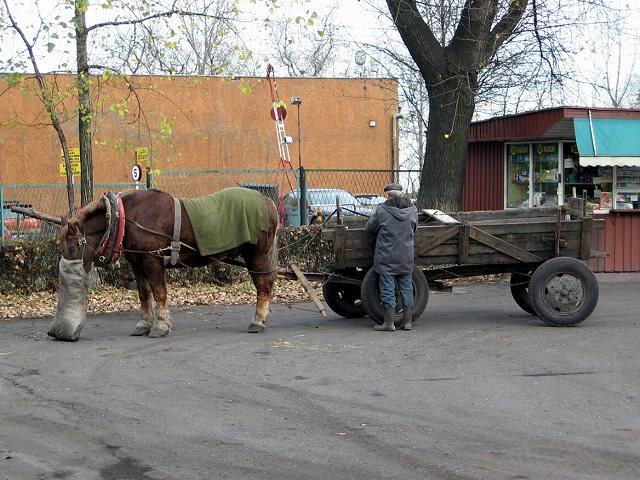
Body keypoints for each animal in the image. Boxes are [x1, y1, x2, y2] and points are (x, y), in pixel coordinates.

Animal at [58, 188, 278, 338]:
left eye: (72, 248)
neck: (126, 218)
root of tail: (266, 201)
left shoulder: (152, 260)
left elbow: (159, 292)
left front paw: (161, 325)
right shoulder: (137, 263)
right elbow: (144, 294)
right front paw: (144, 324)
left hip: (256, 255)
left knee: (263, 286)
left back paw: (258, 321)